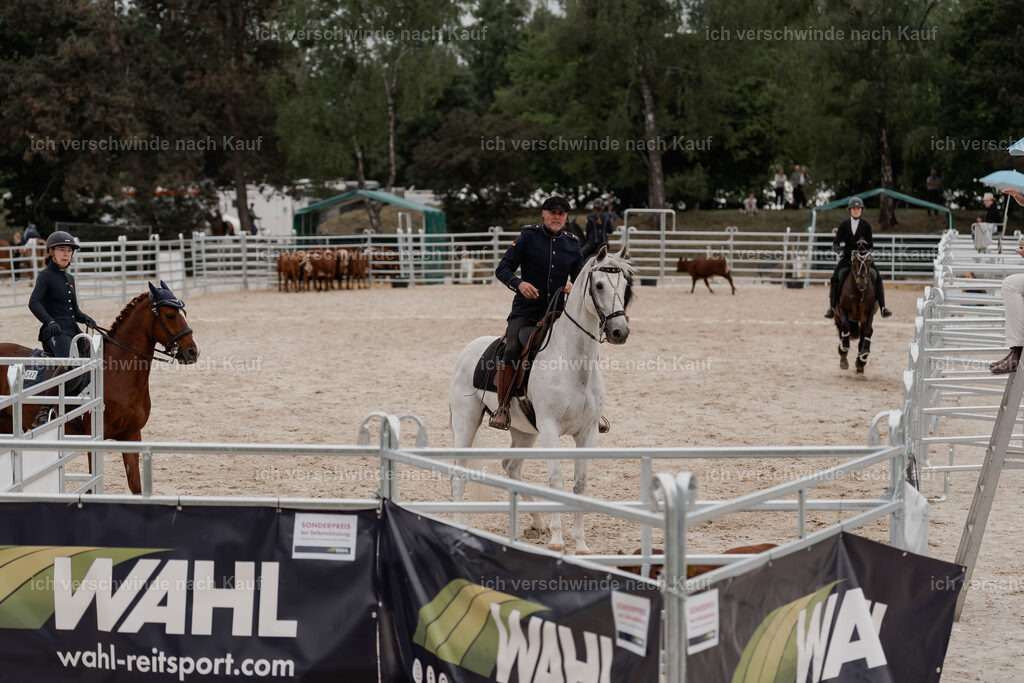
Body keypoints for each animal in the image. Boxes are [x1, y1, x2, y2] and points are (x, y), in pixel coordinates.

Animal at [0, 281, 199, 493]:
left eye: (184, 312)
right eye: (170, 315)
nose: (192, 352)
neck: (117, 374)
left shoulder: (131, 435)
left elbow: (135, 486)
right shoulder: (93, 440)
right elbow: (91, 487)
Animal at [449, 245, 635, 553]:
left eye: (625, 286)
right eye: (598, 285)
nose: (620, 331)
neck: (573, 362)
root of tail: (468, 350)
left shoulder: (588, 433)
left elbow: (580, 484)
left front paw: (580, 544)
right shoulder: (550, 429)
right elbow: (556, 481)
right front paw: (558, 540)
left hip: (524, 433)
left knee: (511, 467)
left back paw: (536, 520)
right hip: (466, 423)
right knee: (458, 471)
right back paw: (457, 522)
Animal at [835, 245, 876, 374]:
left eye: (869, 261)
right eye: (854, 262)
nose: (861, 284)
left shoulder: (869, 314)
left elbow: (868, 332)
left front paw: (862, 359)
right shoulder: (842, 310)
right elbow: (845, 327)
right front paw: (844, 349)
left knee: (862, 336)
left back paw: (860, 363)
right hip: (837, 316)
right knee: (841, 330)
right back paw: (843, 356)